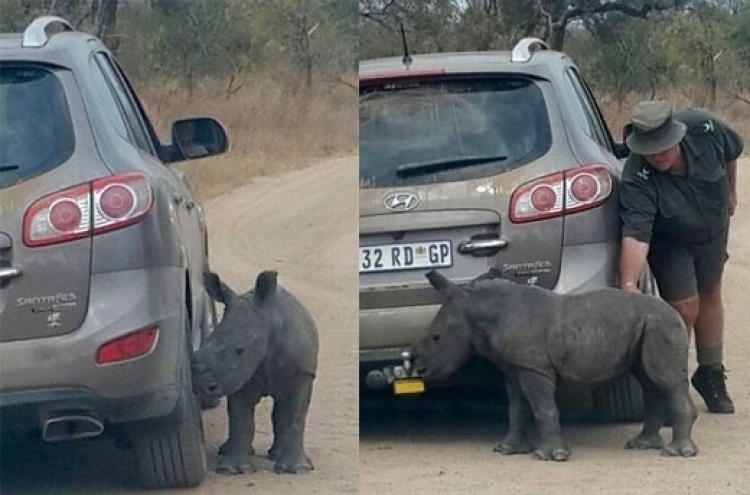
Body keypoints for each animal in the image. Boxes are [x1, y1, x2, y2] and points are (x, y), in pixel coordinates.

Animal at [192, 272, 318, 476]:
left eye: (240, 350)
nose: (202, 386)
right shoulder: (239, 375)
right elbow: (241, 419)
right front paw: (230, 470)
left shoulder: (302, 373)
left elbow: (295, 417)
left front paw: (299, 469)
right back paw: (227, 451)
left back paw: (276, 455)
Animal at [412, 272, 700, 462]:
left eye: (436, 338)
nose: (420, 369)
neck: (479, 310)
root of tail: (674, 312)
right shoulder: (516, 367)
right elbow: (517, 408)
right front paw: (507, 449)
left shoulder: (534, 368)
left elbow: (544, 407)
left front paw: (548, 455)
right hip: (647, 326)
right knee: (649, 381)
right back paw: (643, 445)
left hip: (660, 325)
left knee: (665, 381)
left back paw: (677, 453)